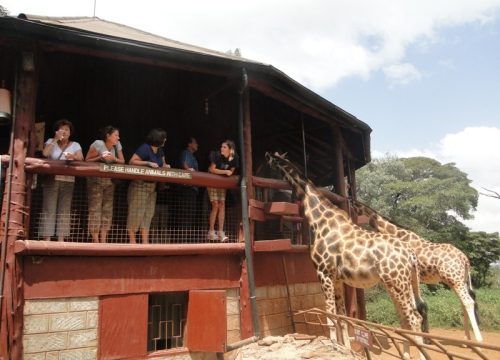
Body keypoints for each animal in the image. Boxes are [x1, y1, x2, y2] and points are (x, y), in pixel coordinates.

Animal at [268, 153, 428, 358]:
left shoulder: (323, 273)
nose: (266, 157)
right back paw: (405, 355)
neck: (320, 222)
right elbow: (341, 316)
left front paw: (333, 345)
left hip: (397, 283)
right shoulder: (336, 279)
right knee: (406, 318)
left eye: (272, 162)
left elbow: (329, 315)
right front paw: (345, 348)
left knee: (414, 318)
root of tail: (411, 255)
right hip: (399, 283)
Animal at [352, 200, 484, 344]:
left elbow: (418, 305)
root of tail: (465, 259)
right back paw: (466, 339)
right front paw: (423, 338)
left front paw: (419, 337)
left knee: (468, 302)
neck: (398, 234)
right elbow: (420, 305)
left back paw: (478, 340)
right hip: (457, 280)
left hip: (455, 279)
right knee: (464, 303)